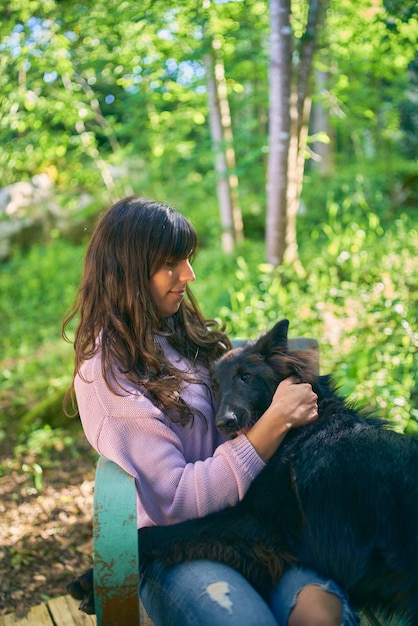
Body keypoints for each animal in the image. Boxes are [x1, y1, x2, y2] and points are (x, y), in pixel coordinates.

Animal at [140, 320, 418, 620]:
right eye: (214, 386)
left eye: (246, 377)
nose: (224, 422)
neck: (299, 430)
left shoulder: (263, 527)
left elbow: (177, 531)